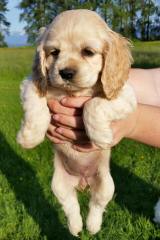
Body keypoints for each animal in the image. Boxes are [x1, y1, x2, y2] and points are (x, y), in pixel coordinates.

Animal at [16, 9, 137, 236]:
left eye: (88, 52)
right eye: (54, 52)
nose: (65, 72)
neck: (73, 92)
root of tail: (82, 183)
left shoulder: (124, 96)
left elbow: (93, 104)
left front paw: (101, 136)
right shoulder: (32, 83)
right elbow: (36, 107)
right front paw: (29, 138)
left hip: (107, 185)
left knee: (97, 204)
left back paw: (92, 226)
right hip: (58, 185)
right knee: (71, 206)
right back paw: (76, 228)